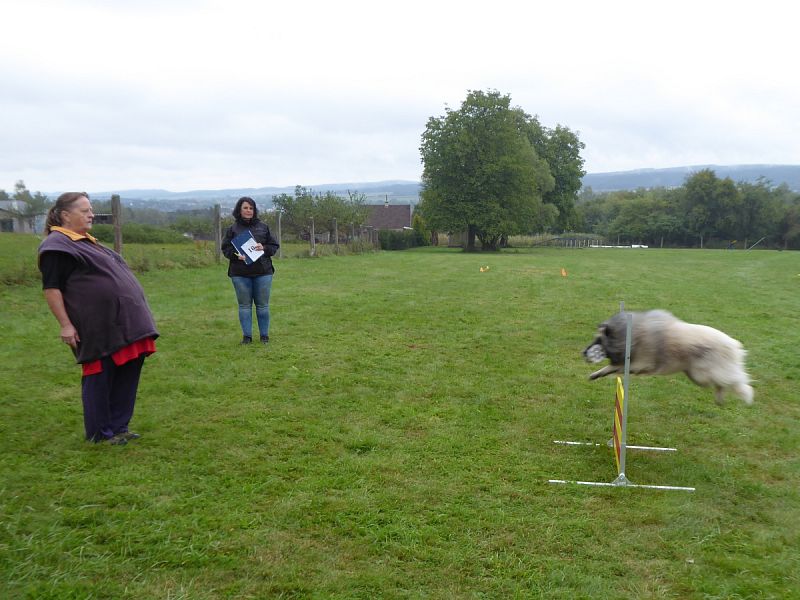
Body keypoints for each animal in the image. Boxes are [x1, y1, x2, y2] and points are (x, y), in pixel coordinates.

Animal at [584, 312, 752, 406]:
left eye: (598, 340)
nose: (584, 353)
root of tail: (734, 345)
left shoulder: (638, 363)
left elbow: (612, 367)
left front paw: (596, 373)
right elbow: (611, 368)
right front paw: (596, 374)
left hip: (702, 374)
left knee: (731, 382)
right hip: (694, 375)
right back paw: (720, 399)